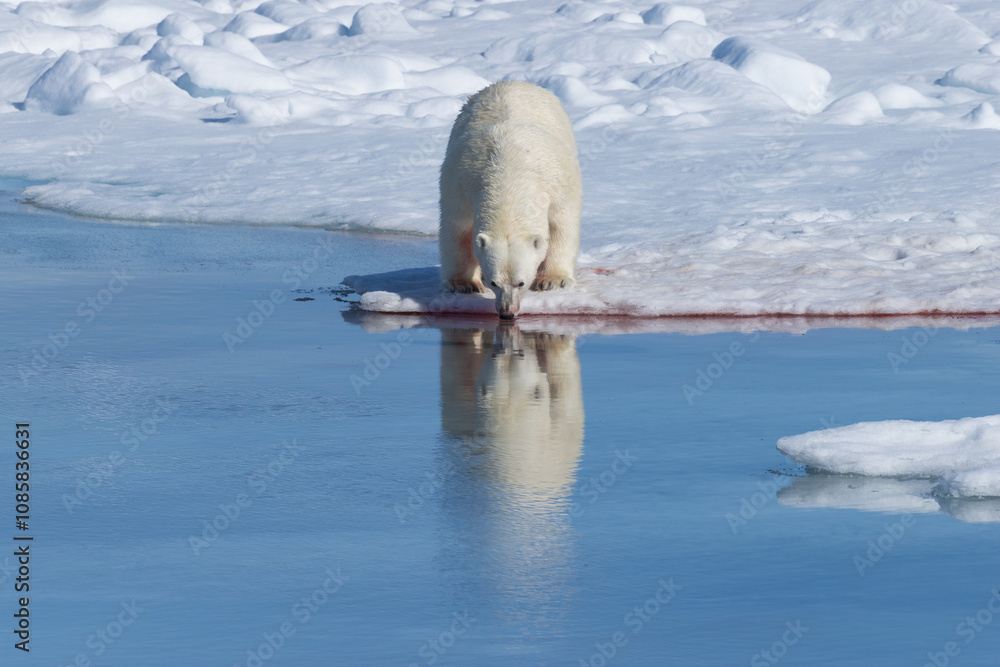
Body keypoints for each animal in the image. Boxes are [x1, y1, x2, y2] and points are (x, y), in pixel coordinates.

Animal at [439, 80, 582, 319]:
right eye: (494, 282)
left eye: (521, 283)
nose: (507, 312)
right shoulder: (460, 182)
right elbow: (457, 228)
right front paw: (464, 284)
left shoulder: (557, 181)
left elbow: (561, 223)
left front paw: (553, 280)